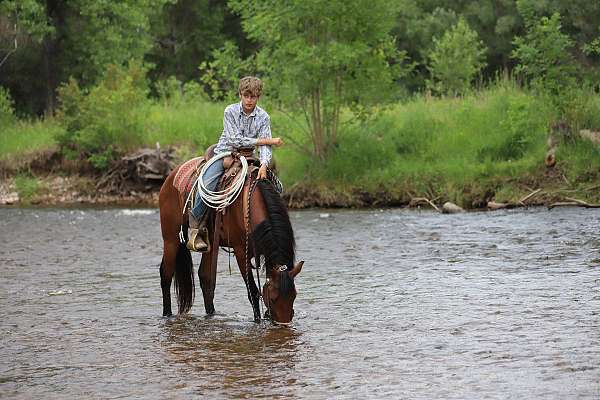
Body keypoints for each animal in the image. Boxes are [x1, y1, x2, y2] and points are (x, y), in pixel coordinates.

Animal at [158, 153, 302, 324]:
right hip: (170, 238)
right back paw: (167, 314)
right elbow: (253, 292)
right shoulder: (241, 251)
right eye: (273, 298)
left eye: (294, 296)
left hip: (210, 243)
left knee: (205, 277)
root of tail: (170, 177)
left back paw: (212, 315)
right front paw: (257, 321)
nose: (284, 324)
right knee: (166, 273)